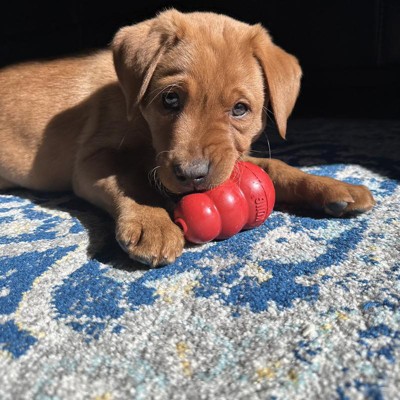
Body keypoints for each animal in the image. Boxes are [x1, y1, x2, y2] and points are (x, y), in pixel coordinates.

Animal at [0, 9, 376, 266]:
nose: (193, 176)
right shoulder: (93, 160)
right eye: (170, 99)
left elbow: (276, 167)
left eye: (240, 109)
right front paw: (153, 224)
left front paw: (334, 186)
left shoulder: (233, 156)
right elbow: (130, 180)